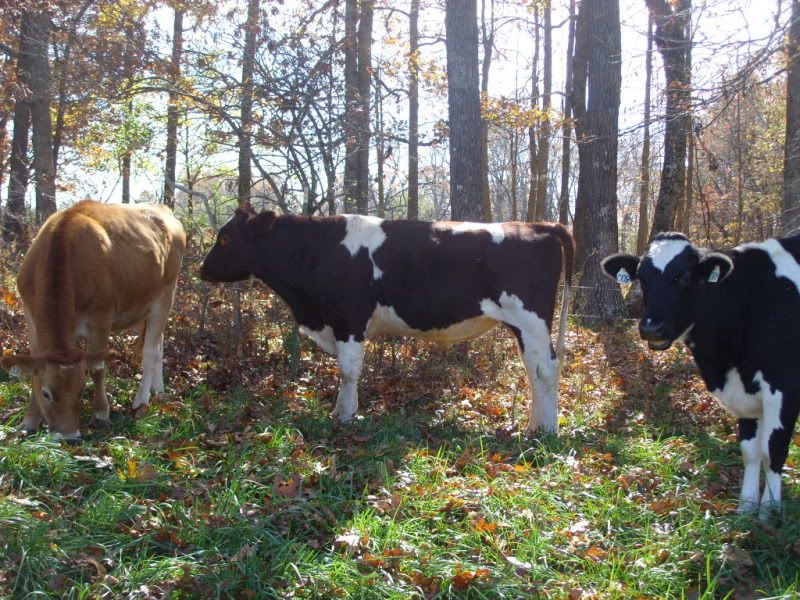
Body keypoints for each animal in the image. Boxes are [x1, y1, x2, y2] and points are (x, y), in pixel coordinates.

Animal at [1, 200, 186, 442]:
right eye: (46, 393)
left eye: (81, 390)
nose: (70, 437)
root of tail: (163, 208)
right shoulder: (31, 316)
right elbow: (34, 365)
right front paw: (29, 420)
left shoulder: (101, 315)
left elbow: (98, 367)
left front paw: (101, 412)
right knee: (159, 343)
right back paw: (159, 388)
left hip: (166, 296)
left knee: (150, 351)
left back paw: (142, 399)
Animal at [199, 205, 573, 435]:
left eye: (226, 237)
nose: (201, 270)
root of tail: (538, 225)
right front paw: (341, 413)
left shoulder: (349, 319)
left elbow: (349, 371)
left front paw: (345, 416)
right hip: (524, 327)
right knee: (533, 371)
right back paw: (534, 426)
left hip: (531, 320)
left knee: (545, 370)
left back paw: (547, 431)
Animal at [602, 232, 800, 518]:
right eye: (642, 278)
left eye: (683, 276)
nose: (651, 328)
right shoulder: (745, 393)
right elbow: (750, 450)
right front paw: (746, 507)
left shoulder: (784, 387)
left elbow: (772, 449)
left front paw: (769, 512)